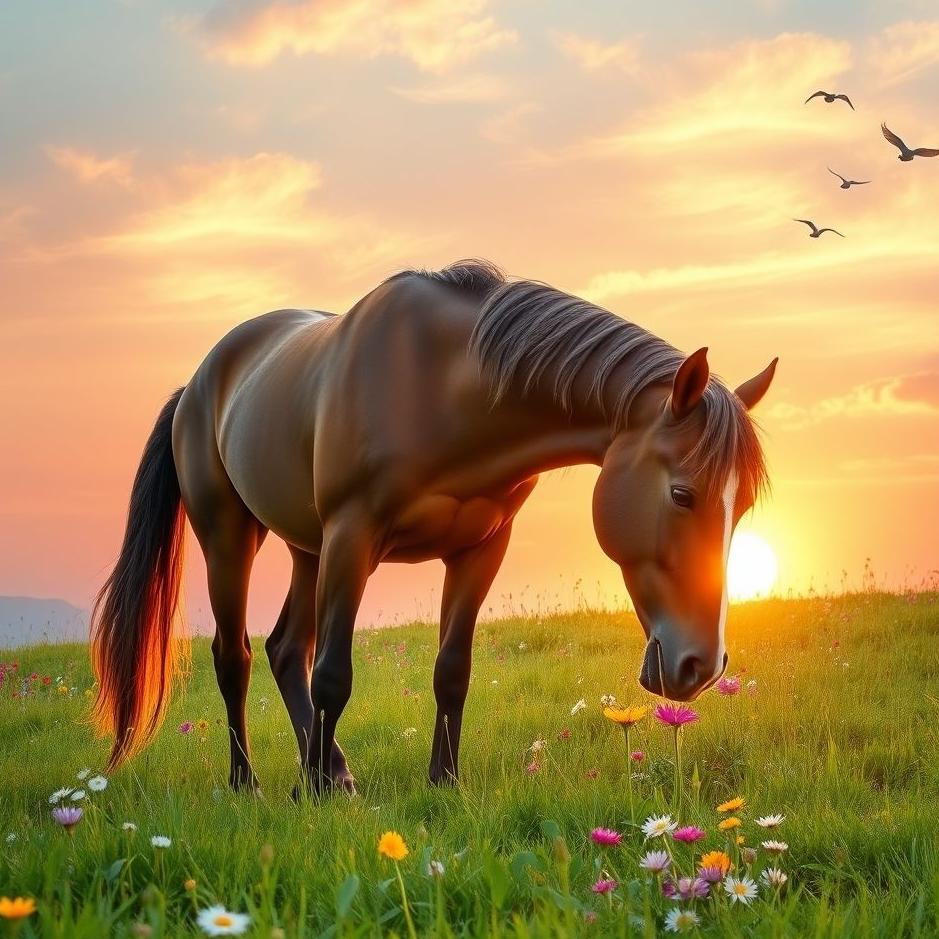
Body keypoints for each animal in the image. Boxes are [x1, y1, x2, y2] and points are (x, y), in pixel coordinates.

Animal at [91, 260, 777, 796]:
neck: (445, 389)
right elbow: (334, 675)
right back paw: (253, 783)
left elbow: (452, 669)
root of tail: (198, 382)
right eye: (682, 494)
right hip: (230, 535)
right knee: (234, 658)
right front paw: (316, 798)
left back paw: (329, 772)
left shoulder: (480, 550)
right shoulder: (353, 536)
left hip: (306, 546)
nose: (701, 666)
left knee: (286, 648)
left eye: (741, 508)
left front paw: (442, 783)